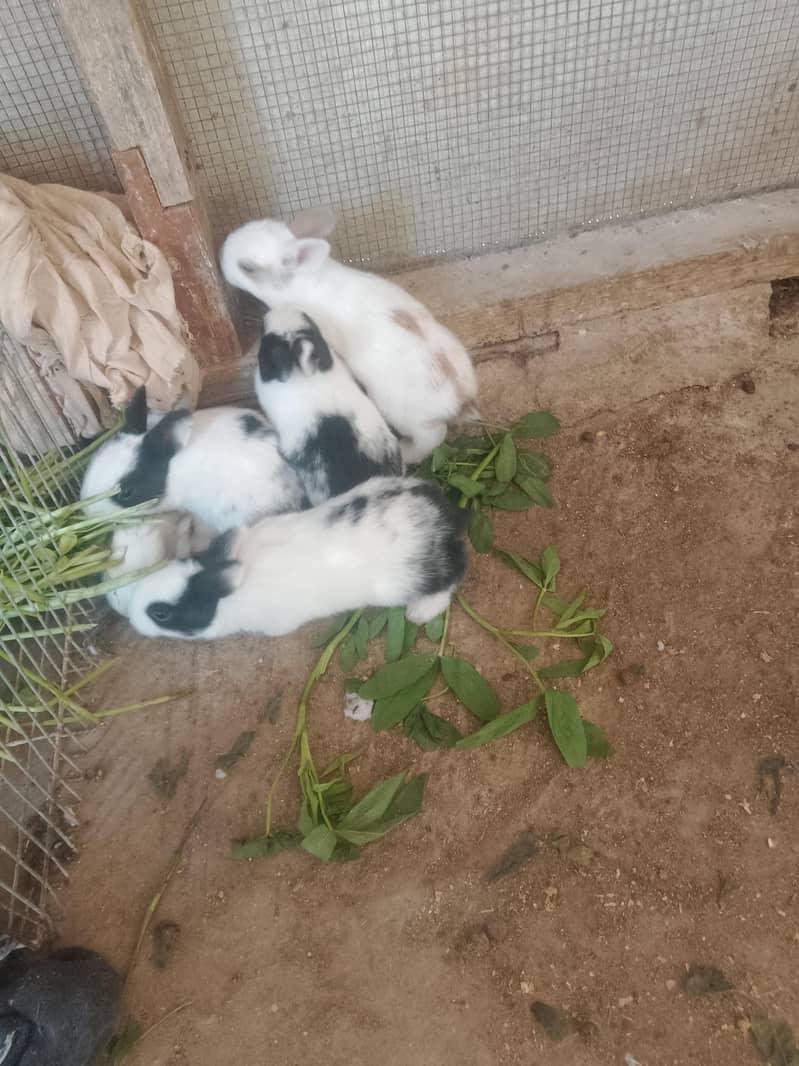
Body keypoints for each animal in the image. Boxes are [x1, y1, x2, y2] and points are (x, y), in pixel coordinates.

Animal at [126, 476, 468, 640]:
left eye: (161, 614)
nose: (131, 617)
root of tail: (446, 514)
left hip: (412, 578)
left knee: (454, 575)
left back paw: (419, 612)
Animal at [219, 208, 478, 465]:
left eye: (248, 268)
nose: (221, 257)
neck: (302, 280)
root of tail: (461, 399)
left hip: (405, 415)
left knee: (433, 436)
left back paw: (406, 452)